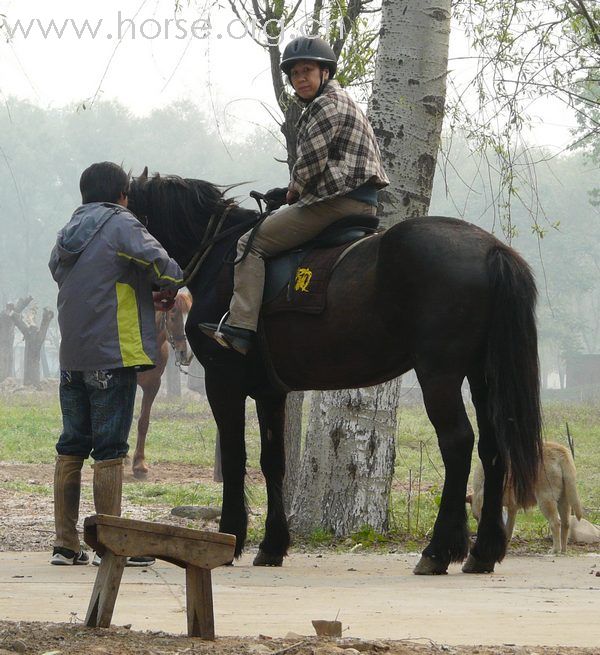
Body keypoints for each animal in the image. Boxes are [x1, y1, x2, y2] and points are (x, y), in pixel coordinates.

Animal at [130, 173, 544, 576]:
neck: (220, 259)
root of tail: (490, 248)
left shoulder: (223, 383)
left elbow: (234, 457)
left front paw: (231, 537)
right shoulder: (269, 392)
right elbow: (273, 461)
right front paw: (272, 544)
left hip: (439, 374)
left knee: (457, 442)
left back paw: (439, 550)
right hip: (482, 374)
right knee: (492, 446)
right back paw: (483, 551)